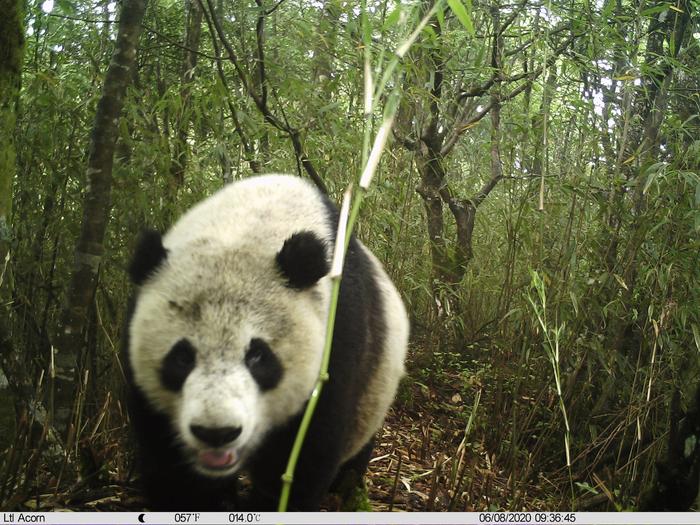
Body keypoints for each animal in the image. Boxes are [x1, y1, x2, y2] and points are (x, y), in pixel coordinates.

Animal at [122, 174, 408, 510]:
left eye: (257, 356)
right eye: (182, 357)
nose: (217, 432)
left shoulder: (337, 340)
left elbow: (300, 459)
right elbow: (174, 474)